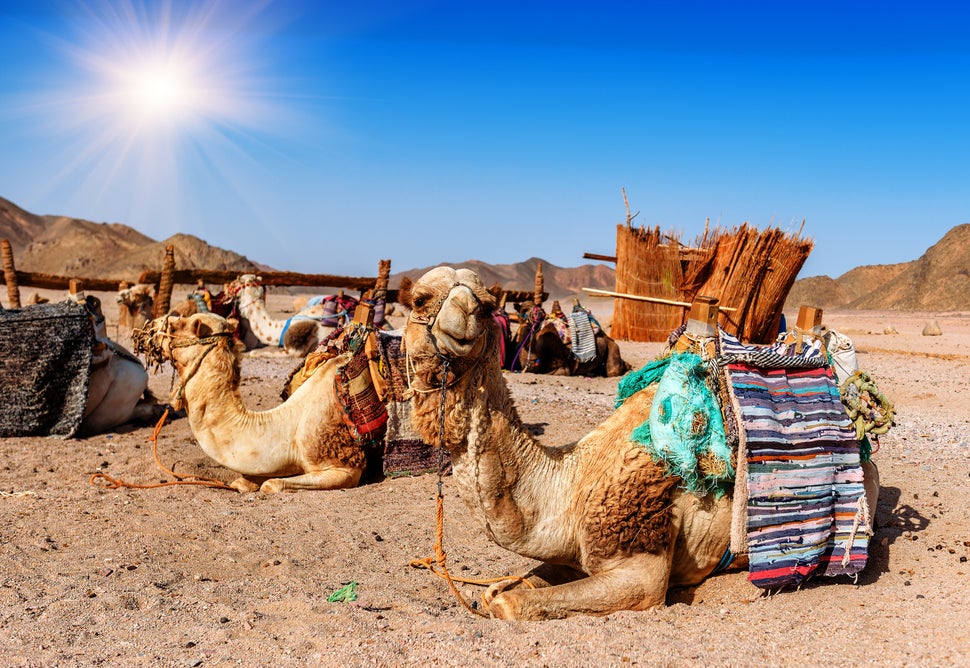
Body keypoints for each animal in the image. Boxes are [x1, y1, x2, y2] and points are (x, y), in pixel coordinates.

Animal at [133, 312, 364, 490]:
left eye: (176, 325)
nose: (142, 332)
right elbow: (246, 480)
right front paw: (244, 483)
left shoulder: (345, 466)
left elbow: (271, 484)